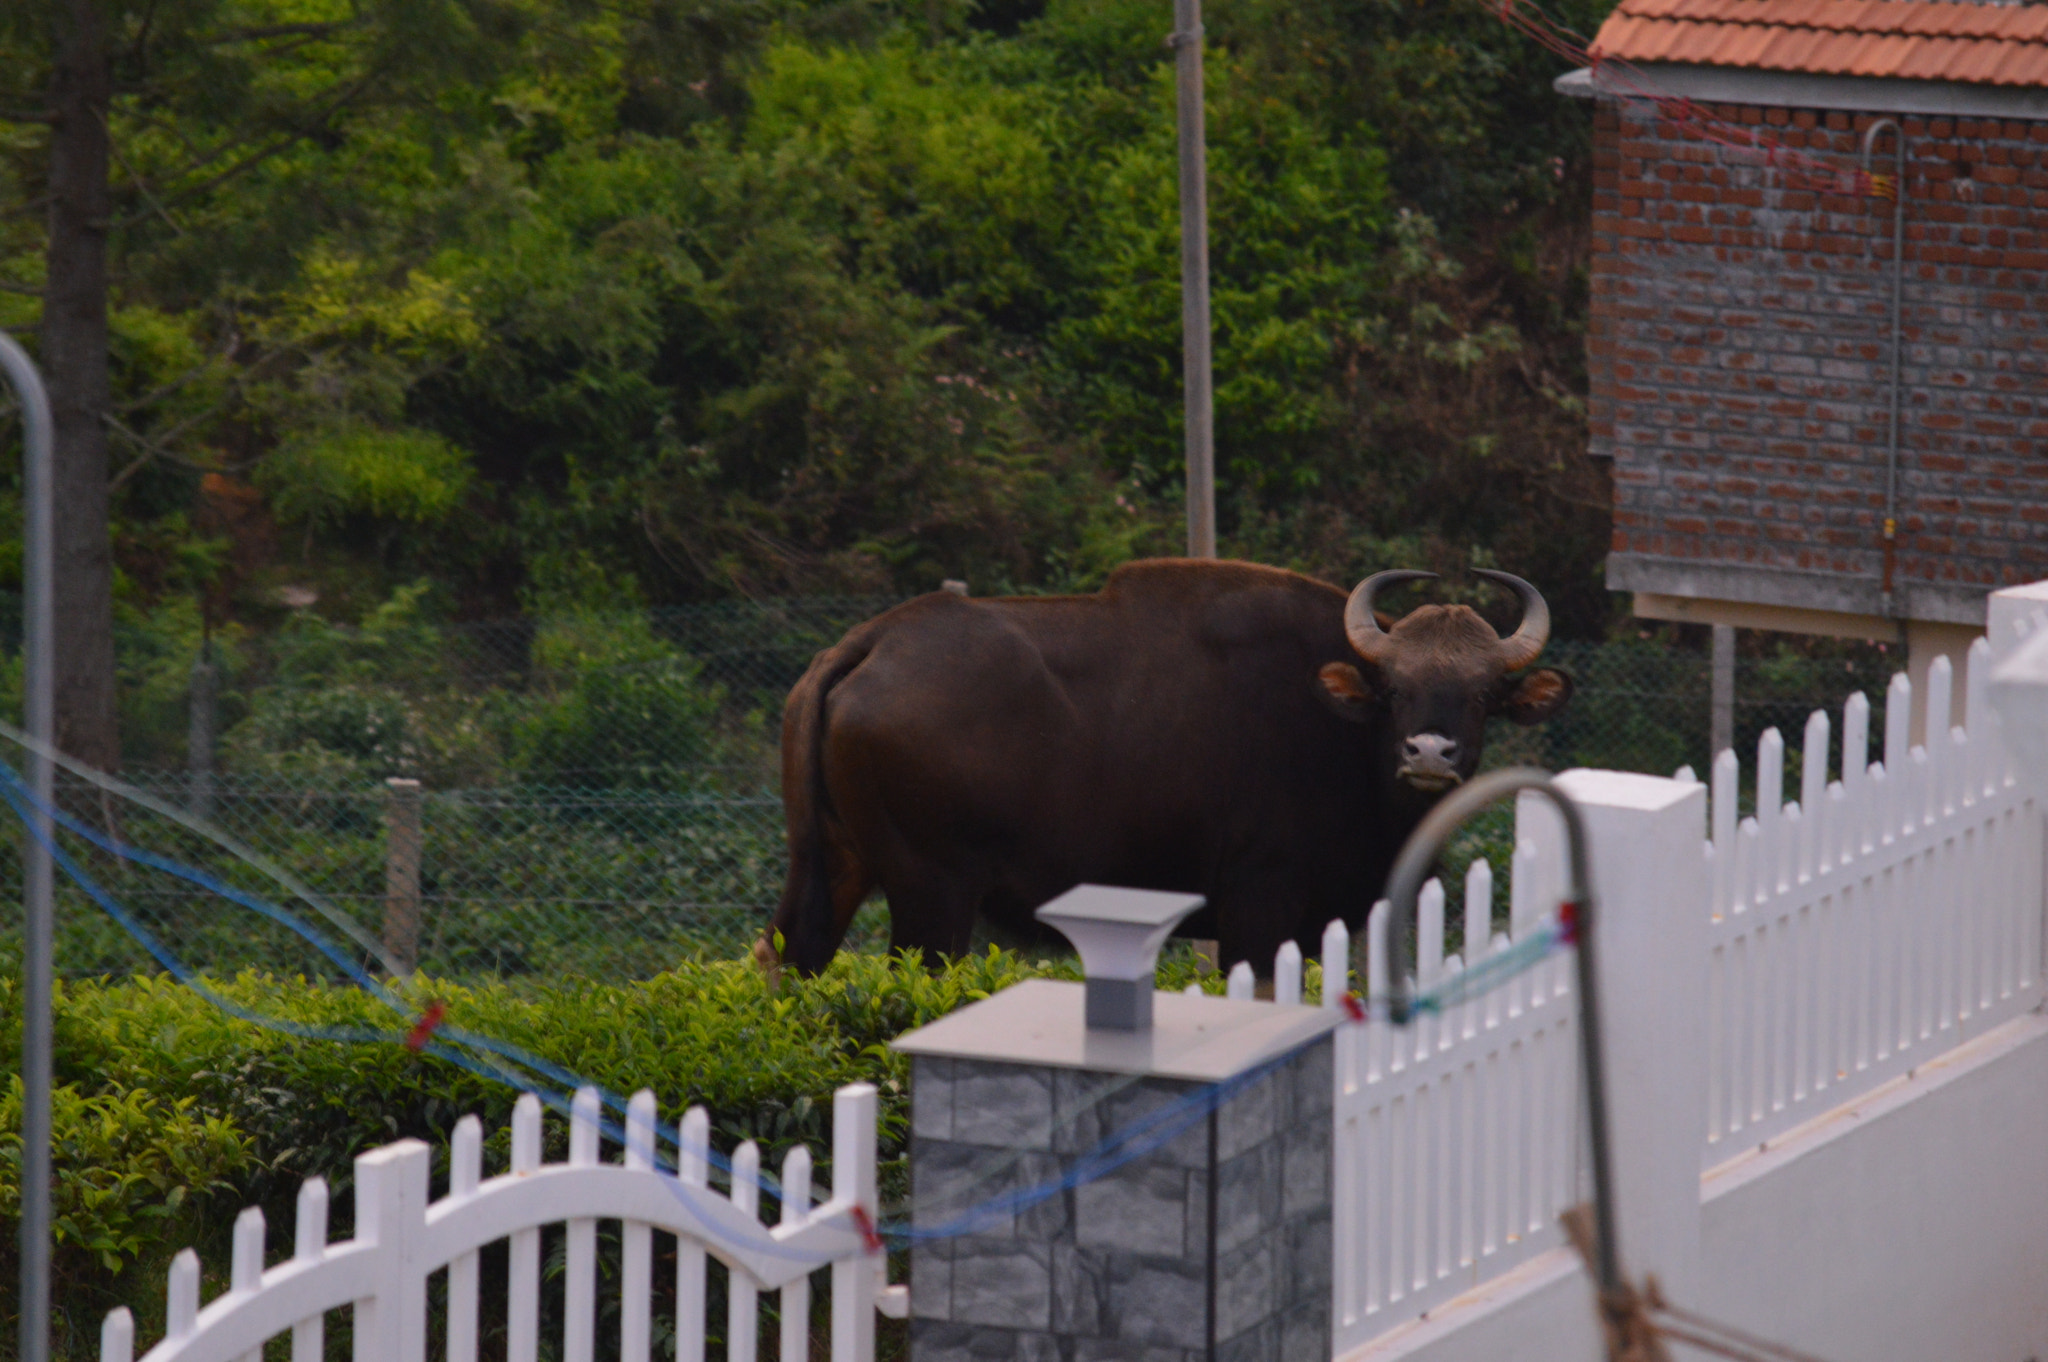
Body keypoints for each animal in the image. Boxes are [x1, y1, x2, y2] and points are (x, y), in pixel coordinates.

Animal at [757, 559, 1572, 976]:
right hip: (933, 891)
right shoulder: (1258, 906)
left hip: (834, 865)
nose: (1428, 754)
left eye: (1481, 695)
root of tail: (871, 642)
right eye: (1395, 689)